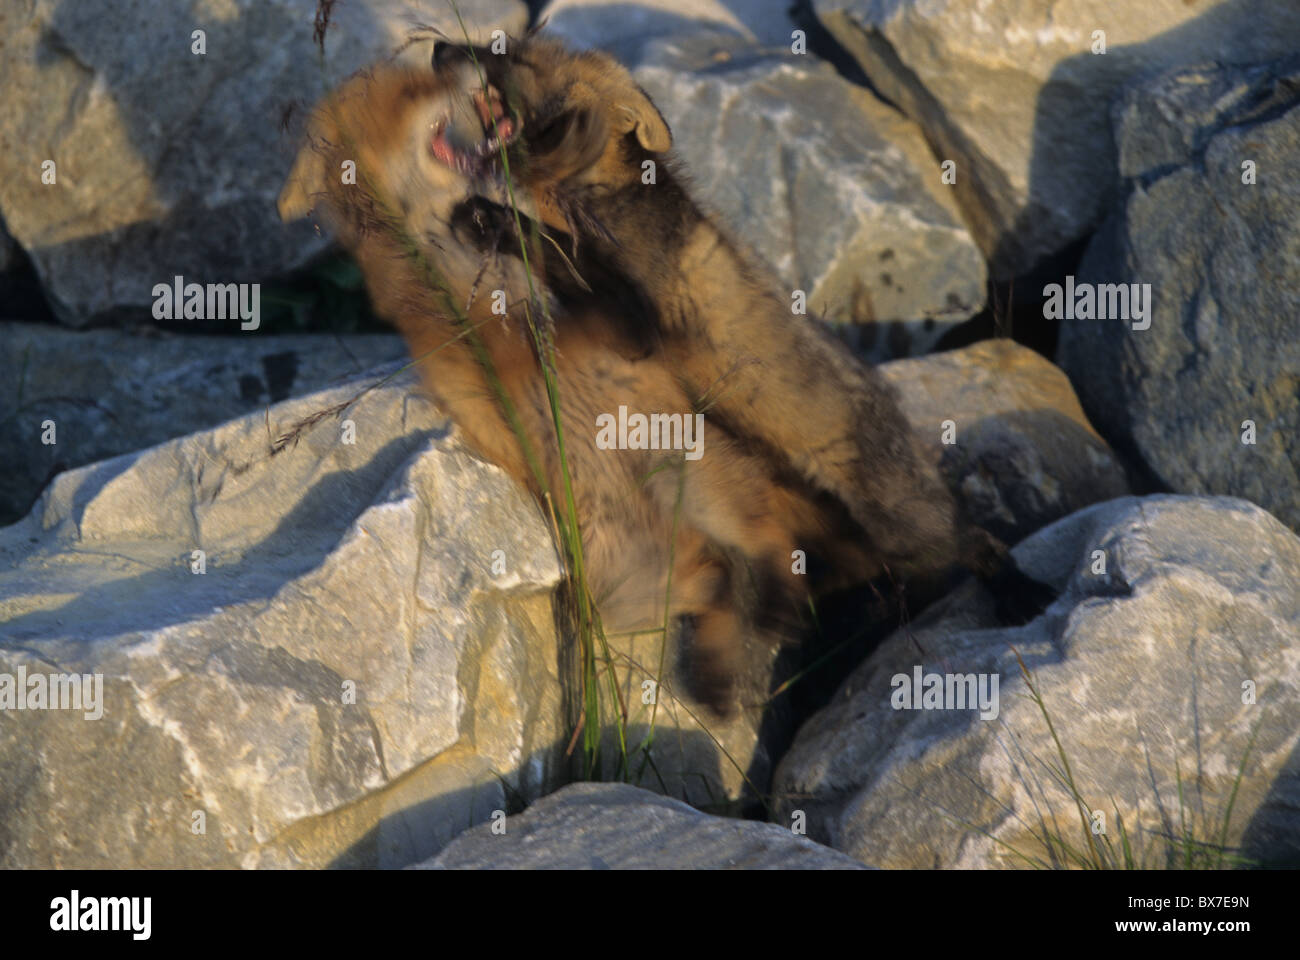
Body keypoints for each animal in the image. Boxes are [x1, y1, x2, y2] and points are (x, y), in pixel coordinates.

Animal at [276, 59, 872, 713]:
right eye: (412, 90)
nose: (457, 60)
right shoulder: (526, 347)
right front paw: (494, 227)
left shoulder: (620, 323)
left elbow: (570, 261)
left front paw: (506, 216)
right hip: (626, 584)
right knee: (721, 574)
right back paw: (722, 665)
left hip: (694, 480)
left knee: (768, 541)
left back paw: (761, 621)